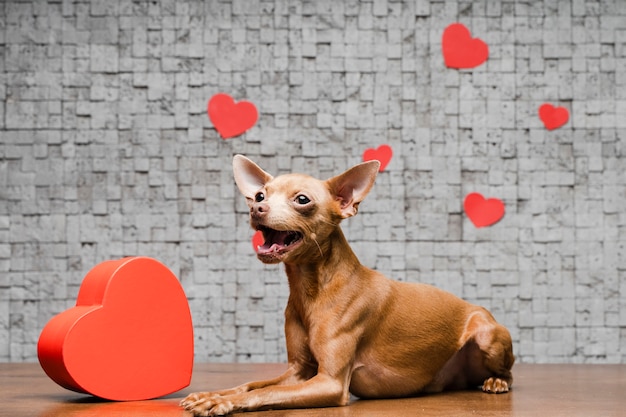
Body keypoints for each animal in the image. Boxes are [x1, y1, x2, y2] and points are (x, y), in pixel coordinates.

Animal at [180, 155, 512, 416]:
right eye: (260, 195)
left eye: (302, 200)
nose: (256, 209)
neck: (312, 290)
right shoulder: (298, 372)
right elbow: (250, 385)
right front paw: (213, 395)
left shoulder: (330, 382)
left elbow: (265, 392)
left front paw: (221, 403)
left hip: (488, 335)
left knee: (507, 371)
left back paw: (497, 382)